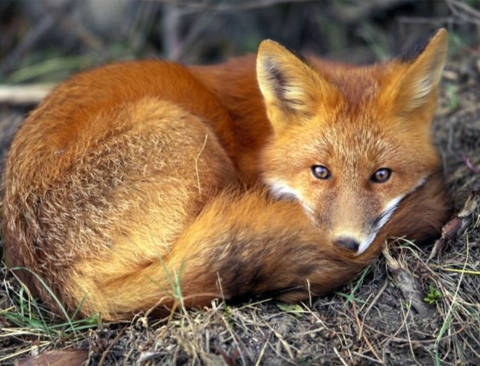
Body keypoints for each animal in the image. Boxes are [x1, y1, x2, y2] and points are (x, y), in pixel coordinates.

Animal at [2, 28, 450, 320]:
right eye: (320, 172)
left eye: (382, 175)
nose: (346, 244)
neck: (263, 133)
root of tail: (62, 285)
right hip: (190, 135)